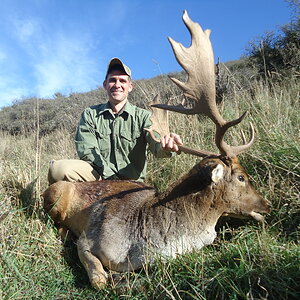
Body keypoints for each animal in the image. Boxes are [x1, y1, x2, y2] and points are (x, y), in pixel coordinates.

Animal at [43, 10, 270, 290]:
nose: (267, 205)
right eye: (241, 177)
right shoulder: (88, 238)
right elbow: (98, 280)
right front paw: (113, 277)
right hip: (55, 195)